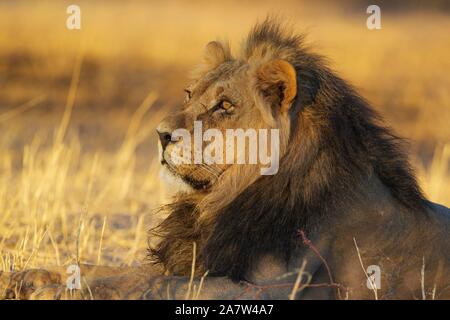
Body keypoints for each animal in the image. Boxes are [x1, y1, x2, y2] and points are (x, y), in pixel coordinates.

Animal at [0, 19, 450, 300]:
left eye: (224, 106)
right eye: (189, 94)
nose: (160, 134)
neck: (220, 201)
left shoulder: (273, 287)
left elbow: (147, 286)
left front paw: (52, 290)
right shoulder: (197, 260)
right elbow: (110, 269)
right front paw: (25, 277)